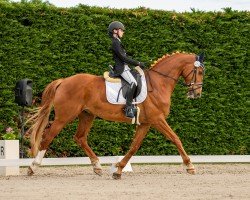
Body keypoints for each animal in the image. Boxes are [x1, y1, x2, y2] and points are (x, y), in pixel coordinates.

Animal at [27, 51, 205, 178]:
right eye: (200, 71)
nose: (197, 94)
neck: (158, 83)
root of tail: (63, 81)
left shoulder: (145, 123)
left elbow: (134, 147)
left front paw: (118, 169)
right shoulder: (157, 119)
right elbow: (176, 139)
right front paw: (190, 166)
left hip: (87, 115)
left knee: (80, 138)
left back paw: (97, 166)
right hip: (64, 117)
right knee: (48, 137)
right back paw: (33, 167)